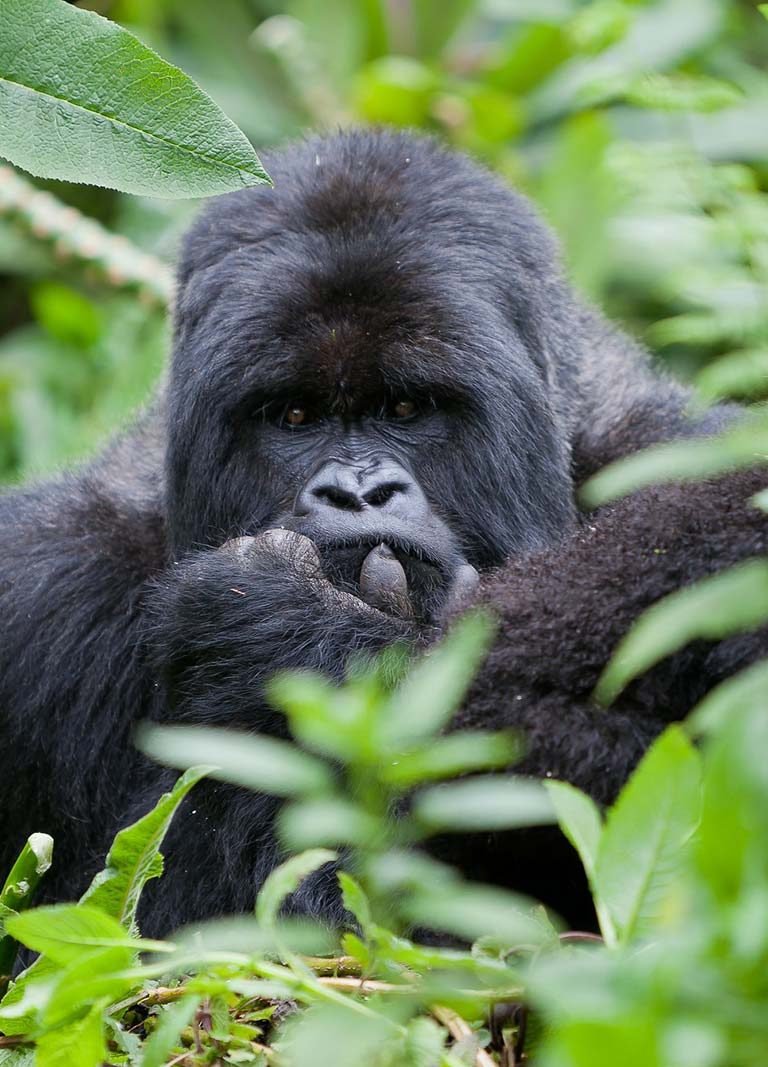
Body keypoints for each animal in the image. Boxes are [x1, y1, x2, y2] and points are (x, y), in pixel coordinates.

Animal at [1, 131, 768, 934]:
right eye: (295, 416)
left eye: (406, 407)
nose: (358, 491)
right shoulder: (38, 579)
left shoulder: (696, 469)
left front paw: (280, 627)